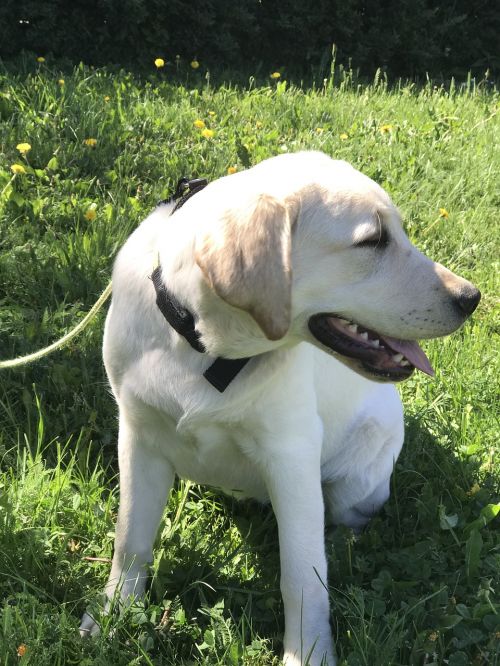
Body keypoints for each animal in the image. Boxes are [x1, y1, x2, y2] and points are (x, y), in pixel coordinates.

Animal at [79, 152, 480, 664]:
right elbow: (130, 538)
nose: (472, 298)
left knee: (348, 522)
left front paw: (308, 653)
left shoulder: (291, 457)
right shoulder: (138, 437)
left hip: (357, 482)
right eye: (373, 240)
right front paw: (112, 616)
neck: (205, 351)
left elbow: (303, 576)